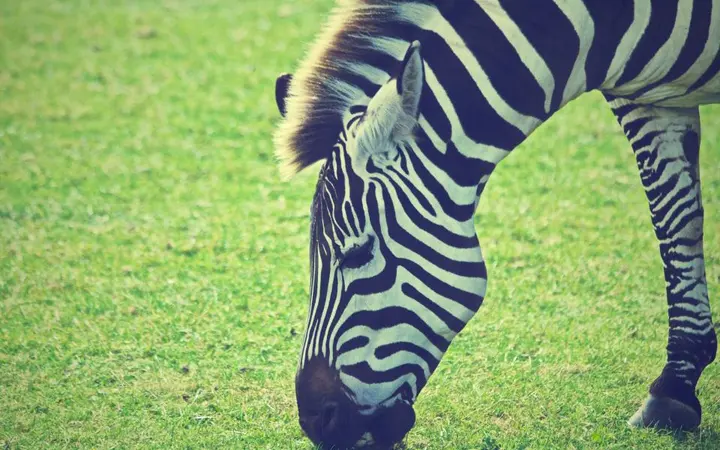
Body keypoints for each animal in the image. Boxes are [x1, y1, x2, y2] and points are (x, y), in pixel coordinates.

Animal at [273, 0, 719, 448]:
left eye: (358, 254)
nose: (316, 422)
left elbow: (677, 219)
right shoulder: (644, 100)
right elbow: (676, 220)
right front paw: (675, 388)